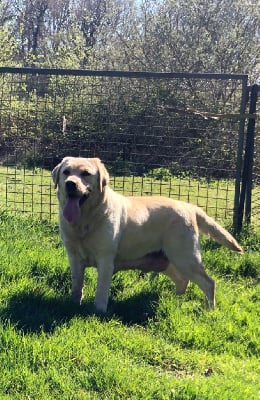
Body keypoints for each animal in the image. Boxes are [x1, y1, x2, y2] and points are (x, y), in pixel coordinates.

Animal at [51, 158, 243, 314]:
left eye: (86, 174)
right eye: (66, 172)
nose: (70, 184)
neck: (85, 220)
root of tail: (189, 206)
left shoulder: (106, 259)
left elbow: (101, 290)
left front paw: (98, 311)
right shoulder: (74, 256)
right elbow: (77, 285)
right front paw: (74, 304)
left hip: (185, 258)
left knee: (209, 283)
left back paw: (209, 310)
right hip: (167, 260)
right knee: (183, 281)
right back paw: (175, 300)